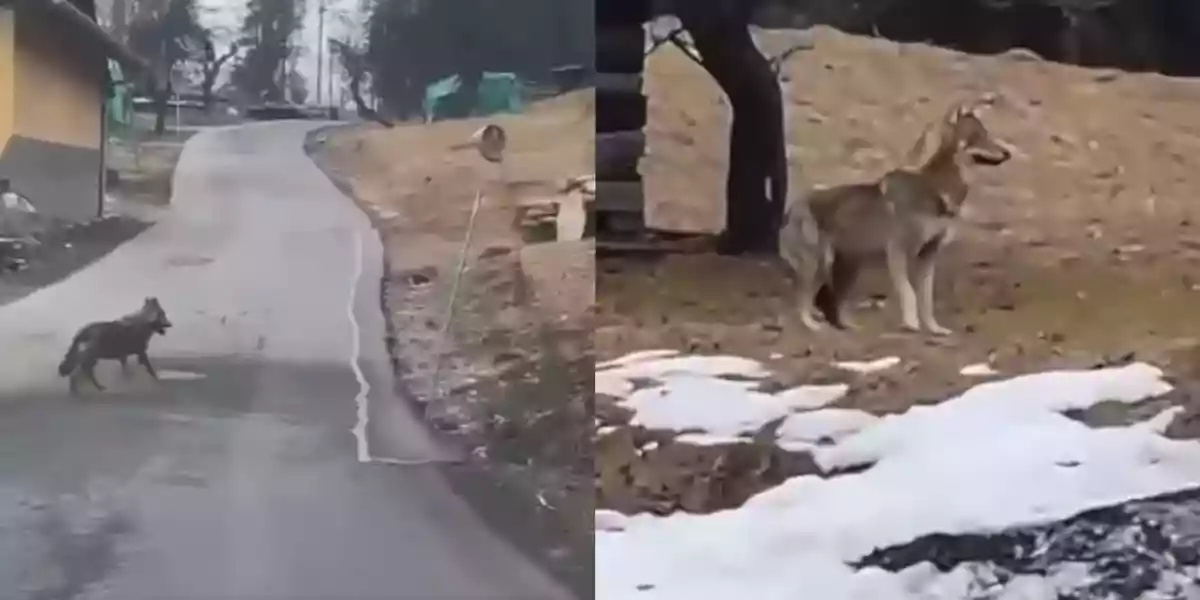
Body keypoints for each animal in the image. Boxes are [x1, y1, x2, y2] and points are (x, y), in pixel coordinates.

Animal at [777, 96, 1012, 336]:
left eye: (986, 134)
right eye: (977, 136)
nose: (1007, 154)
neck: (937, 189)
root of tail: (790, 209)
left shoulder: (928, 256)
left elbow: (926, 300)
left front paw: (934, 329)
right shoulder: (898, 252)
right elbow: (909, 293)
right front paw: (911, 323)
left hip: (848, 270)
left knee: (834, 303)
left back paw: (849, 326)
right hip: (820, 265)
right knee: (802, 299)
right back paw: (812, 325)